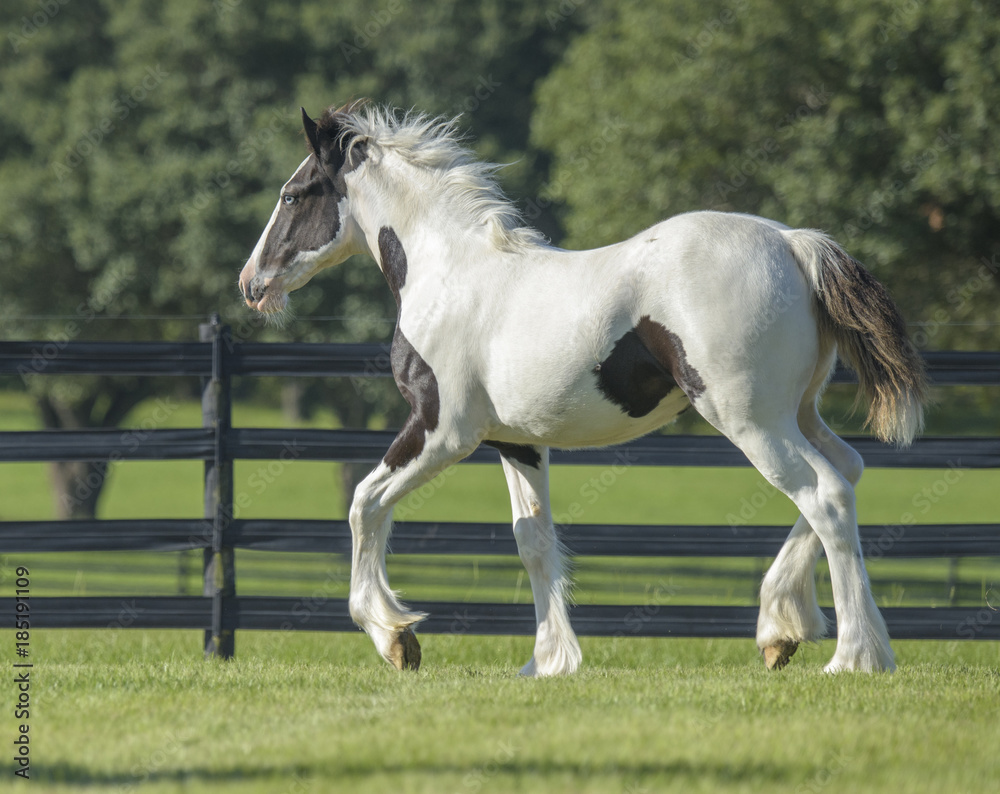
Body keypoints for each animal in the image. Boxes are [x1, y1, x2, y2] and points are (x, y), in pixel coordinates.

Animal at [239, 101, 927, 676]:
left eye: (294, 194)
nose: (251, 283)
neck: (452, 275)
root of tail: (791, 243)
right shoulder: (515, 443)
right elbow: (534, 542)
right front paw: (548, 663)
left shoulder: (443, 431)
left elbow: (365, 503)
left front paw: (395, 637)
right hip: (798, 413)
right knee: (848, 470)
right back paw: (782, 630)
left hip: (751, 419)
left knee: (825, 494)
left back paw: (853, 656)